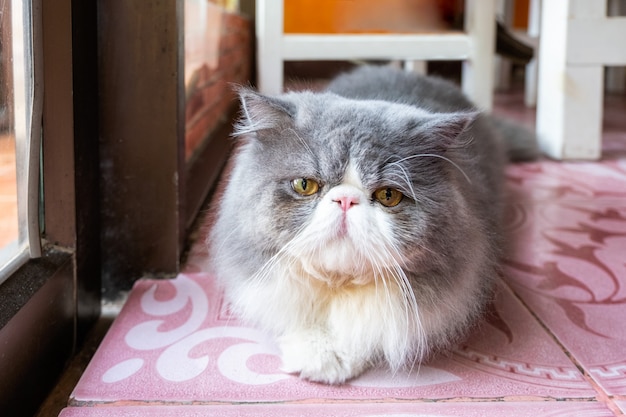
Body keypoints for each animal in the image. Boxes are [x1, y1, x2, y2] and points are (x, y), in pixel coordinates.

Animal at [207, 64, 532, 384]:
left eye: (388, 195)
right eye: (305, 185)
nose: (346, 200)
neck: (338, 285)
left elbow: (366, 329)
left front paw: (336, 359)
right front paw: (317, 354)